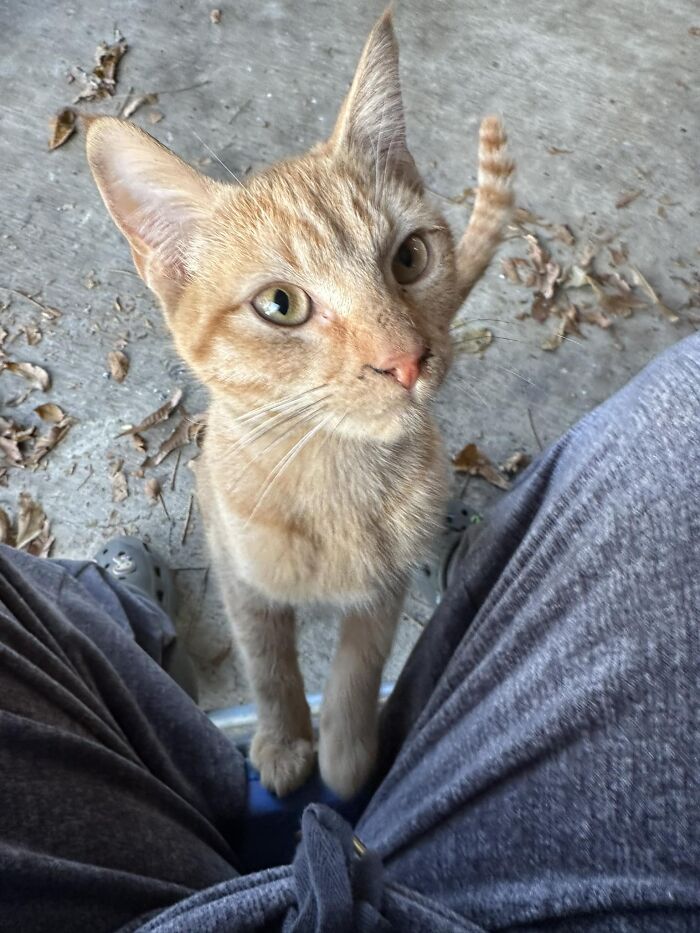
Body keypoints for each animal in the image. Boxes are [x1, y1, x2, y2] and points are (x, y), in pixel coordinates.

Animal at [86, 9, 516, 792]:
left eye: (410, 257)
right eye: (281, 304)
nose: (406, 360)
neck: (331, 473)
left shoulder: (384, 590)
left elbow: (359, 665)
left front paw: (347, 754)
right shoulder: (241, 578)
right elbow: (269, 664)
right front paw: (285, 742)